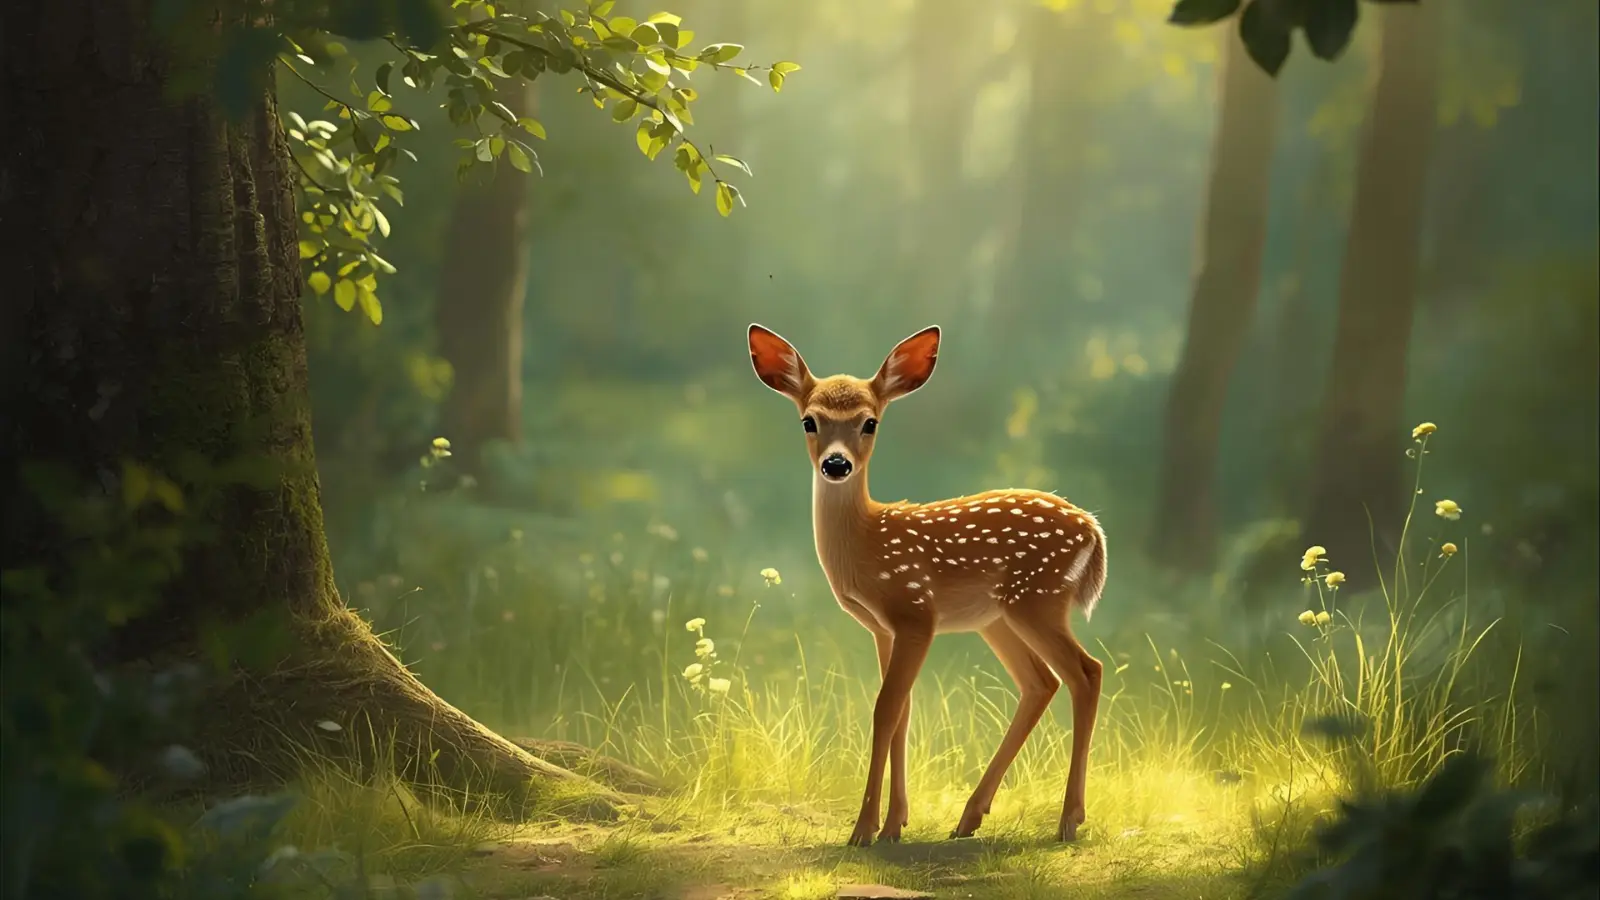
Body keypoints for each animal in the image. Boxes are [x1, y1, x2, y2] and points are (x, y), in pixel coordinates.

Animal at [747, 323, 1108, 847]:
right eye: (809, 421)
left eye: (870, 423)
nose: (836, 464)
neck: (867, 544)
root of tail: (1094, 531)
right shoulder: (885, 629)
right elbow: (901, 712)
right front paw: (893, 825)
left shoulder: (915, 613)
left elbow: (884, 709)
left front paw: (862, 830)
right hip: (998, 618)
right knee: (1041, 682)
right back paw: (970, 817)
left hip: (1037, 600)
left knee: (1086, 672)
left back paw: (1068, 820)